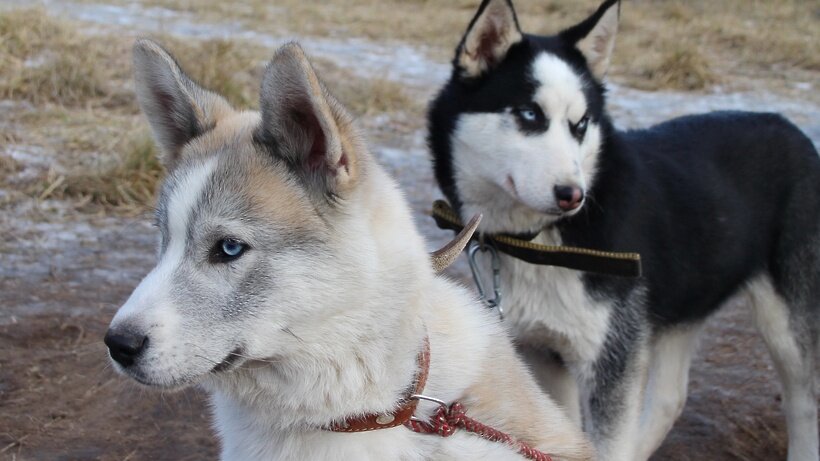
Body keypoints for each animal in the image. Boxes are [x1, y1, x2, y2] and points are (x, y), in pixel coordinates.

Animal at [430, 1, 820, 458]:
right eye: (529, 114)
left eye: (581, 123)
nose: (572, 195)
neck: (541, 241)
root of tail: (792, 130)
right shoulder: (543, 351)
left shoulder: (612, 360)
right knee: (670, 397)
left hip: (787, 327)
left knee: (805, 402)